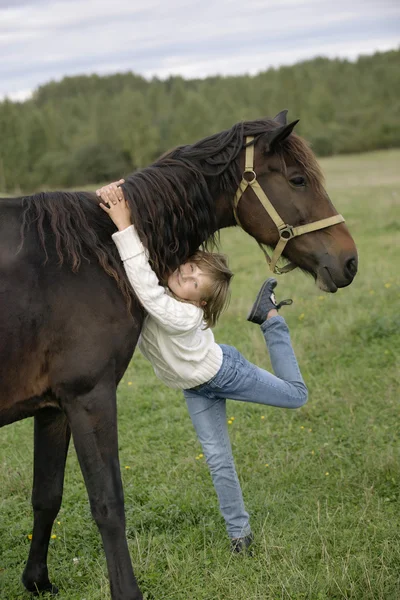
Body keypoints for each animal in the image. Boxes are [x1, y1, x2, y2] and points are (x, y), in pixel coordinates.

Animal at [0, 110, 356, 596]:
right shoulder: (89, 396)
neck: (92, 251)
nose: (349, 262)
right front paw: (126, 591)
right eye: (298, 180)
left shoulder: (54, 407)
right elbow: (108, 503)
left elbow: (46, 496)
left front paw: (37, 581)